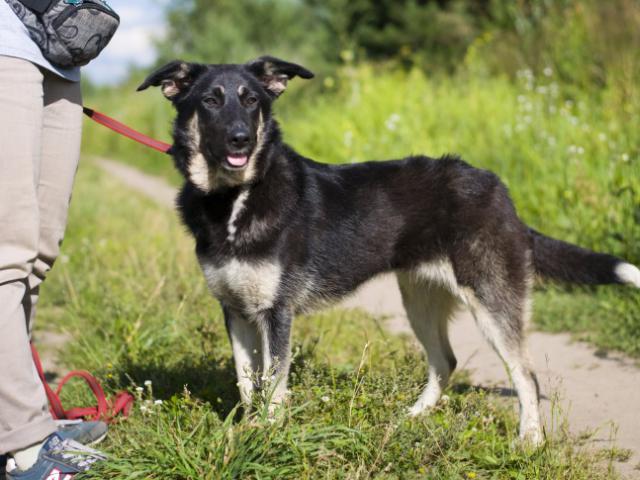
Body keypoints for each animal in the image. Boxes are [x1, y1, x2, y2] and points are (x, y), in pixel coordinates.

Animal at [136, 57, 640, 446]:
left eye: (251, 100)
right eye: (210, 100)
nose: (241, 138)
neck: (233, 199)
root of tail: (498, 189)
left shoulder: (275, 313)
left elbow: (273, 385)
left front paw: (269, 436)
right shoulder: (236, 311)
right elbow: (246, 382)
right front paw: (247, 430)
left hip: (491, 301)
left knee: (525, 375)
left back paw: (530, 440)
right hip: (419, 298)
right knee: (446, 361)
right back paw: (413, 418)